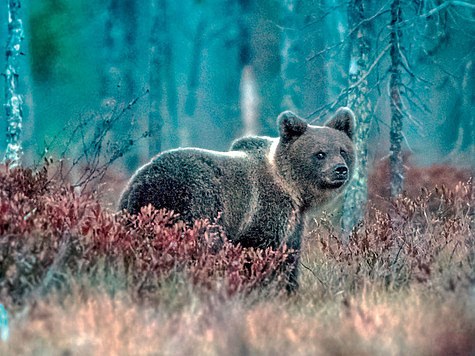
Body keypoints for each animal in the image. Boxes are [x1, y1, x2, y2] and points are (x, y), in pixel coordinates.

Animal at [121, 108, 356, 290]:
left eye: (342, 150)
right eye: (320, 153)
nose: (340, 170)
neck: (291, 189)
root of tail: (143, 182)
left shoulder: (294, 222)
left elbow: (290, 257)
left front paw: (289, 288)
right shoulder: (264, 211)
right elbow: (260, 253)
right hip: (193, 204)